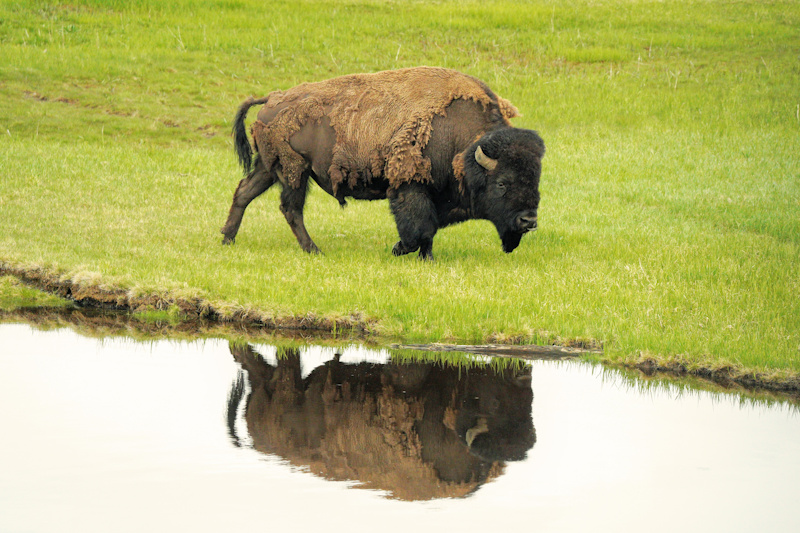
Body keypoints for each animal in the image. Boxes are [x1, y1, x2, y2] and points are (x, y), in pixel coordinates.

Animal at [221, 67, 545, 260]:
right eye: (502, 183)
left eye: (536, 180)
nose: (529, 221)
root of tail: (271, 100)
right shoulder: (409, 186)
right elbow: (419, 228)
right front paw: (400, 250)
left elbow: (429, 231)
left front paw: (426, 258)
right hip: (294, 171)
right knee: (291, 208)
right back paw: (314, 250)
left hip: (268, 168)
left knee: (244, 192)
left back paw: (227, 239)